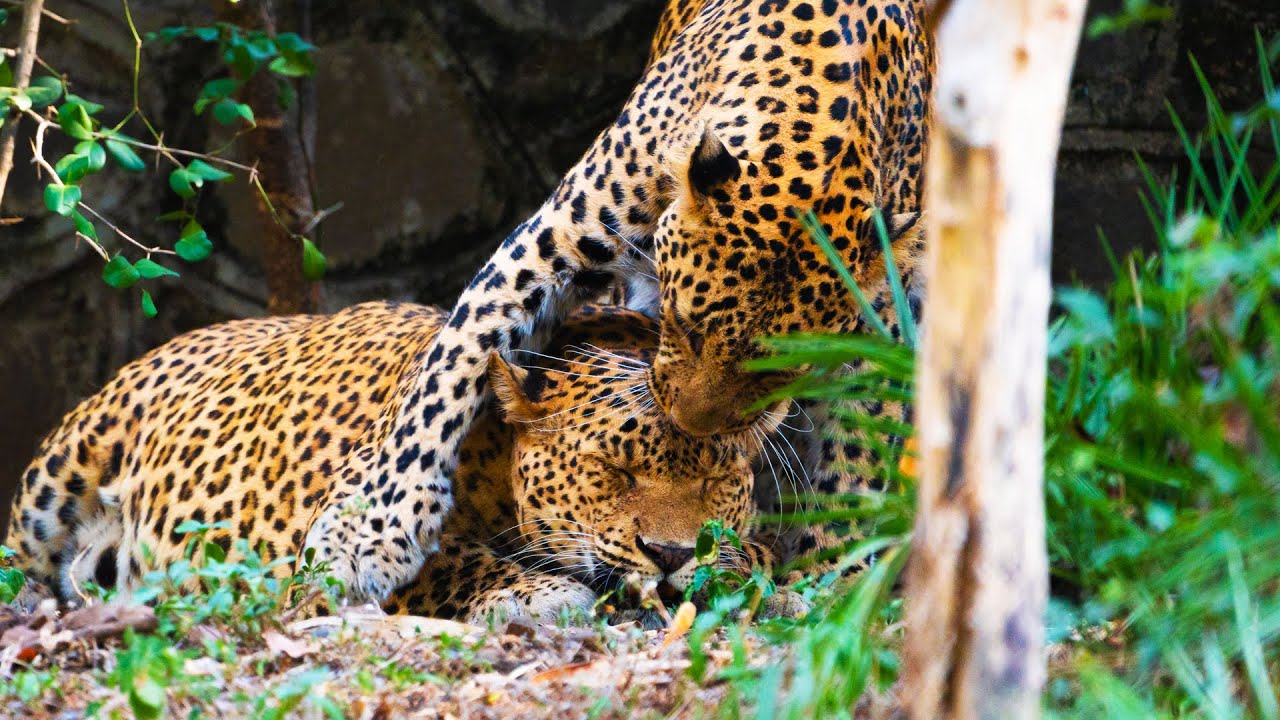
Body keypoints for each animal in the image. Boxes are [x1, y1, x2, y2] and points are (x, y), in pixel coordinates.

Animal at [5, 302, 783, 624]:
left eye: (718, 480)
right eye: (610, 471)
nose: (670, 554)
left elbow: (757, 551)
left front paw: (749, 578)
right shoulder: (331, 531)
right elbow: (444, 561)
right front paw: (537, 592)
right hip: (55, 483)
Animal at [300, 0, 934, 603]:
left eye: (783, 372)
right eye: (685, 326)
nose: (690, 428)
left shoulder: (881, 327)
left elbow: (856, 450)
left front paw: (833, 578)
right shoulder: (549, 245)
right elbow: (450, 372)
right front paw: (368, 534)